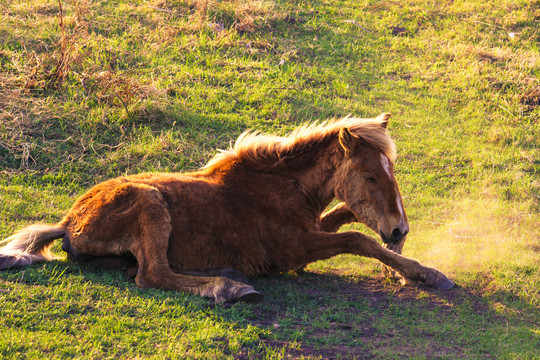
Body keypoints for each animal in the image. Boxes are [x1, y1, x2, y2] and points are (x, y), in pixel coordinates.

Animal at [0, 113, 456, 304]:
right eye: (370, 177)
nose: (399, 230)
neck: (282, 185)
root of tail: (68, 221)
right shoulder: (294, 251)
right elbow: (358, 239)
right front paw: (425, 273)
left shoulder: (311, 229)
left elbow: (346, 216)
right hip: (151, 204)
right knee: (152, 276)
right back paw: (230, 287)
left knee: (144, 271)